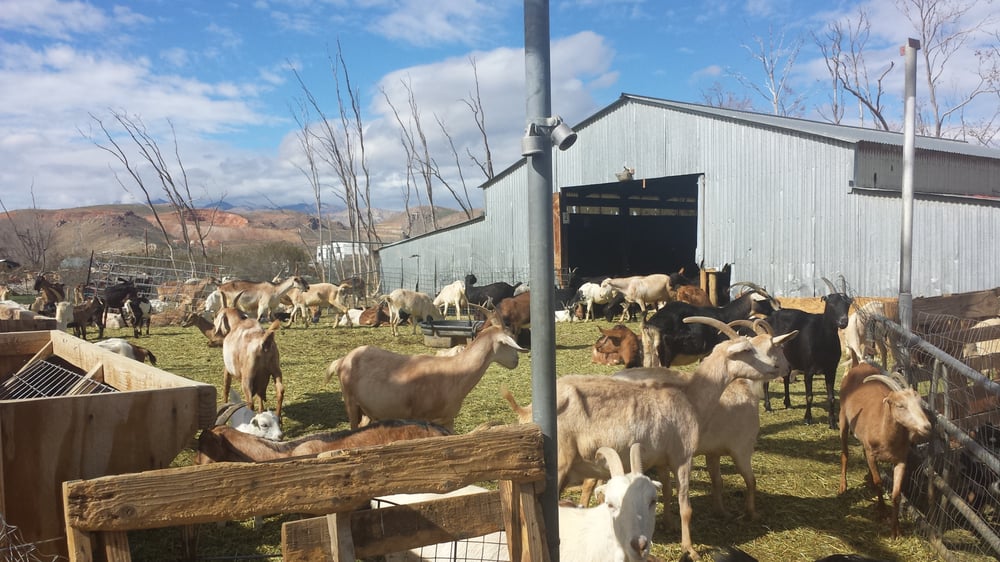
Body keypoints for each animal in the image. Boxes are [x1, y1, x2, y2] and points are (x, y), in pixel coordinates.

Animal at [328, 324, 526, 430]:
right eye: (508, 342)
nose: (516, 361)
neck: (455, 372)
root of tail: (342, 360)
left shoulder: (448, 419)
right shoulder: (422, 418)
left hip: (368, 410)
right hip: (350, 402)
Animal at [502, 316, 797, 559]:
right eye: (748, 350)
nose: (781, 367)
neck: (692, 398)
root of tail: (528, 411)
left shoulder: (661, 458)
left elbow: (665, 490)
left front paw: (667, 523)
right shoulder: (683, 455)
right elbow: (685, 506)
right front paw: (689, 548)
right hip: (560, 462)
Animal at [764, 277, 854, 428]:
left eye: (848, 304)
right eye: (831, 303)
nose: (843, 322)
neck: (822, 340)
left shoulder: (831, 369)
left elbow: (831, 397)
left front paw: (832, 422)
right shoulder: (808, 369)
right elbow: (809, 395)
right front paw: (807, 419)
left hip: (787, 358)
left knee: (786, 378)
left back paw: (788, 403)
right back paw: (768, 406)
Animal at [839, 362, 932, 538]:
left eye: (920, 403)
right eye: (900, 405)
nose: (927, 426)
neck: (885, 434)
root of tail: (859, 364)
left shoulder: (901, 459)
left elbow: (896, 494)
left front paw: (896, 530)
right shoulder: (871, 454)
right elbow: (879, 482)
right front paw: (881, 511)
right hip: (843, 418)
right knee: (845, 453)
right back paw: (842, 487)